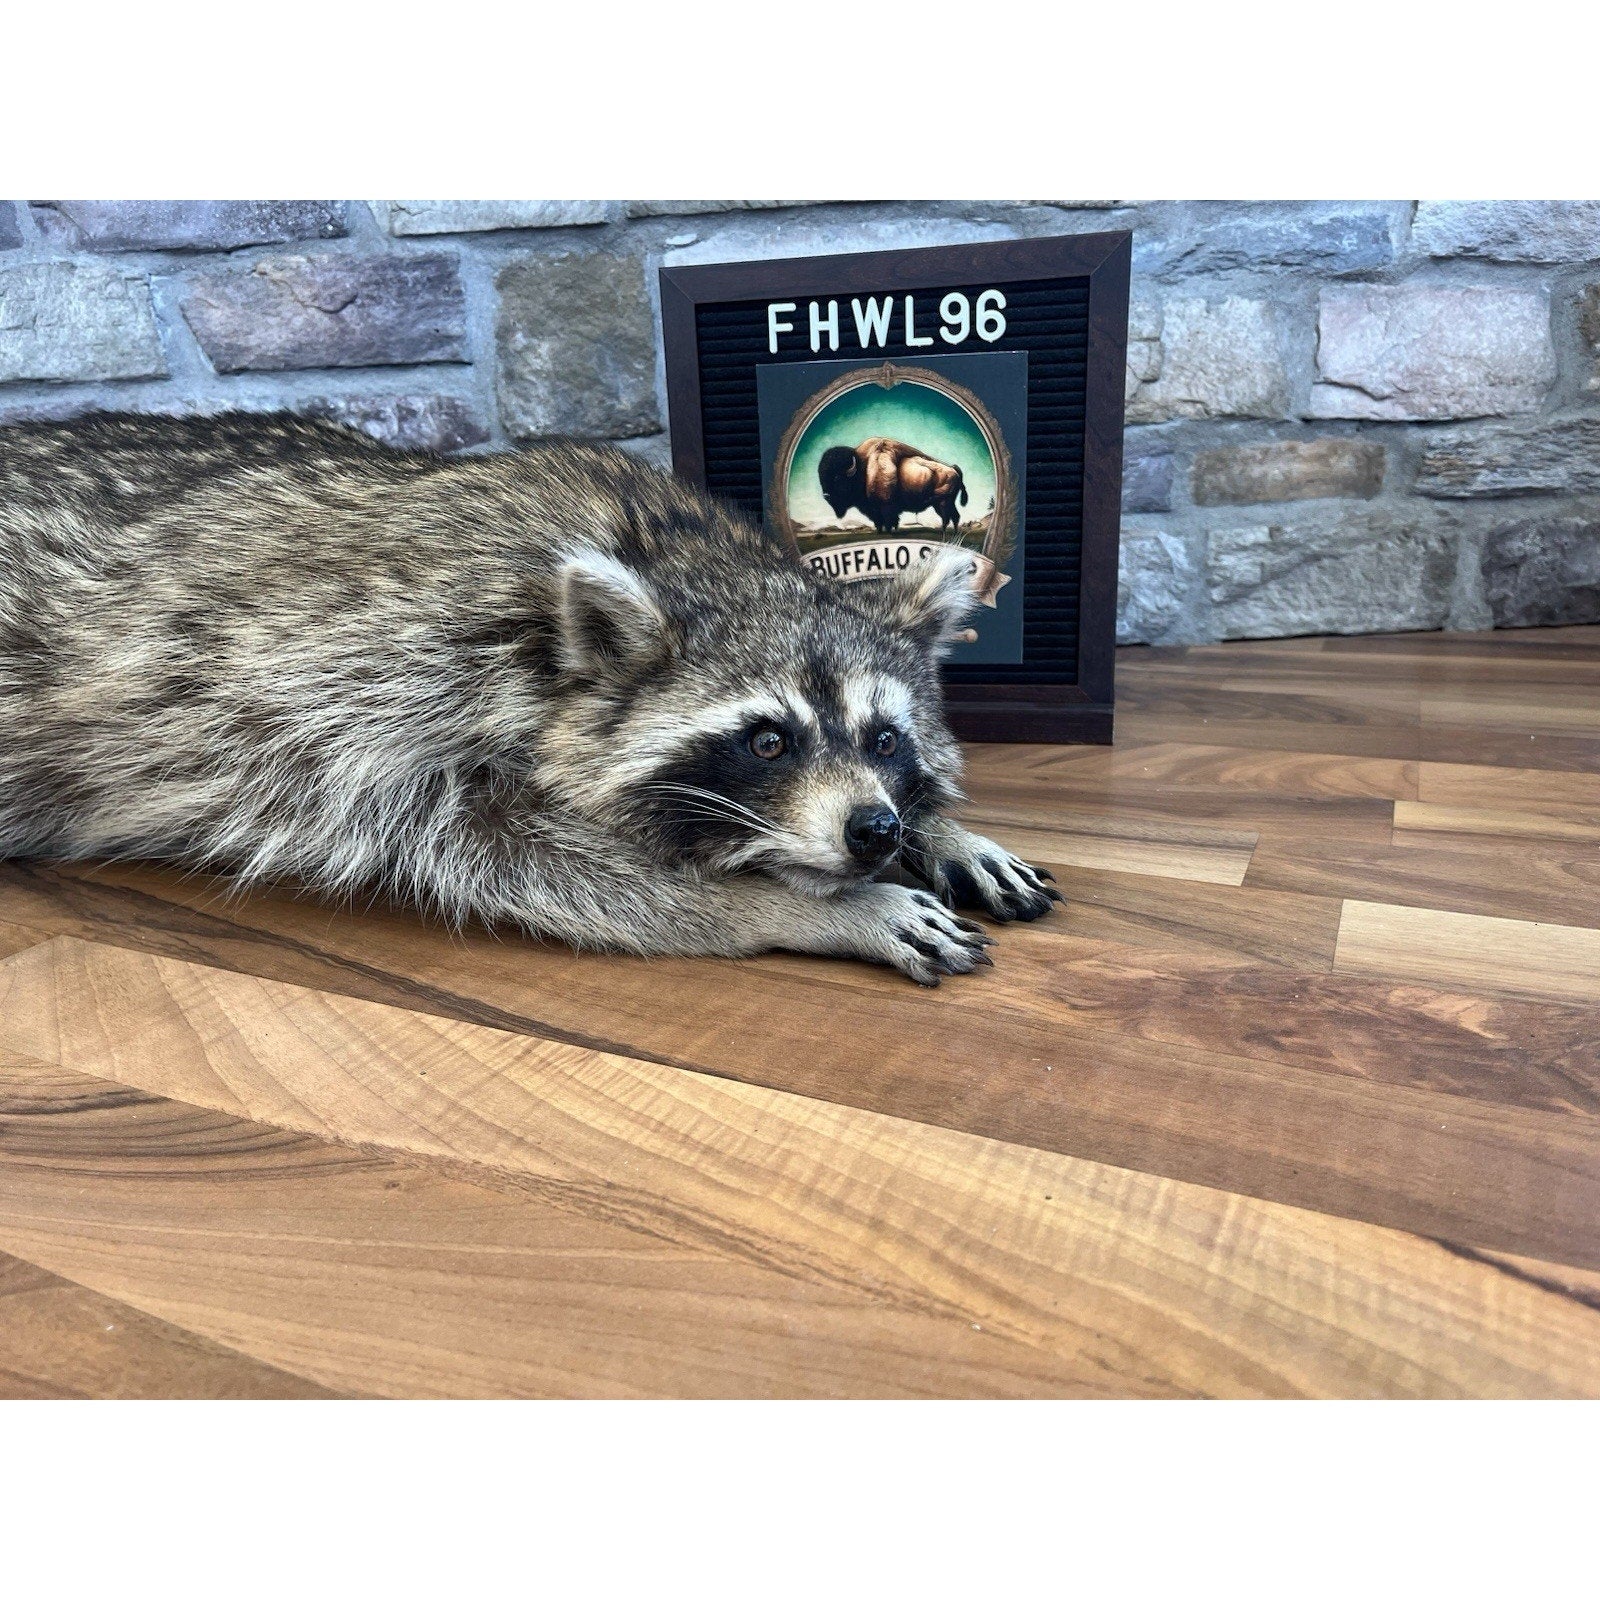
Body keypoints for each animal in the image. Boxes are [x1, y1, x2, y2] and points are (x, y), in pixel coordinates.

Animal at [0, 413, 1059, 984]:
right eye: (768, 742)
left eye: (884, 741)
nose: (874, 832)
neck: (686, 555)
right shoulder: (378, 697)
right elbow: (501, 854)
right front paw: (793, 905)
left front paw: (940, 830)